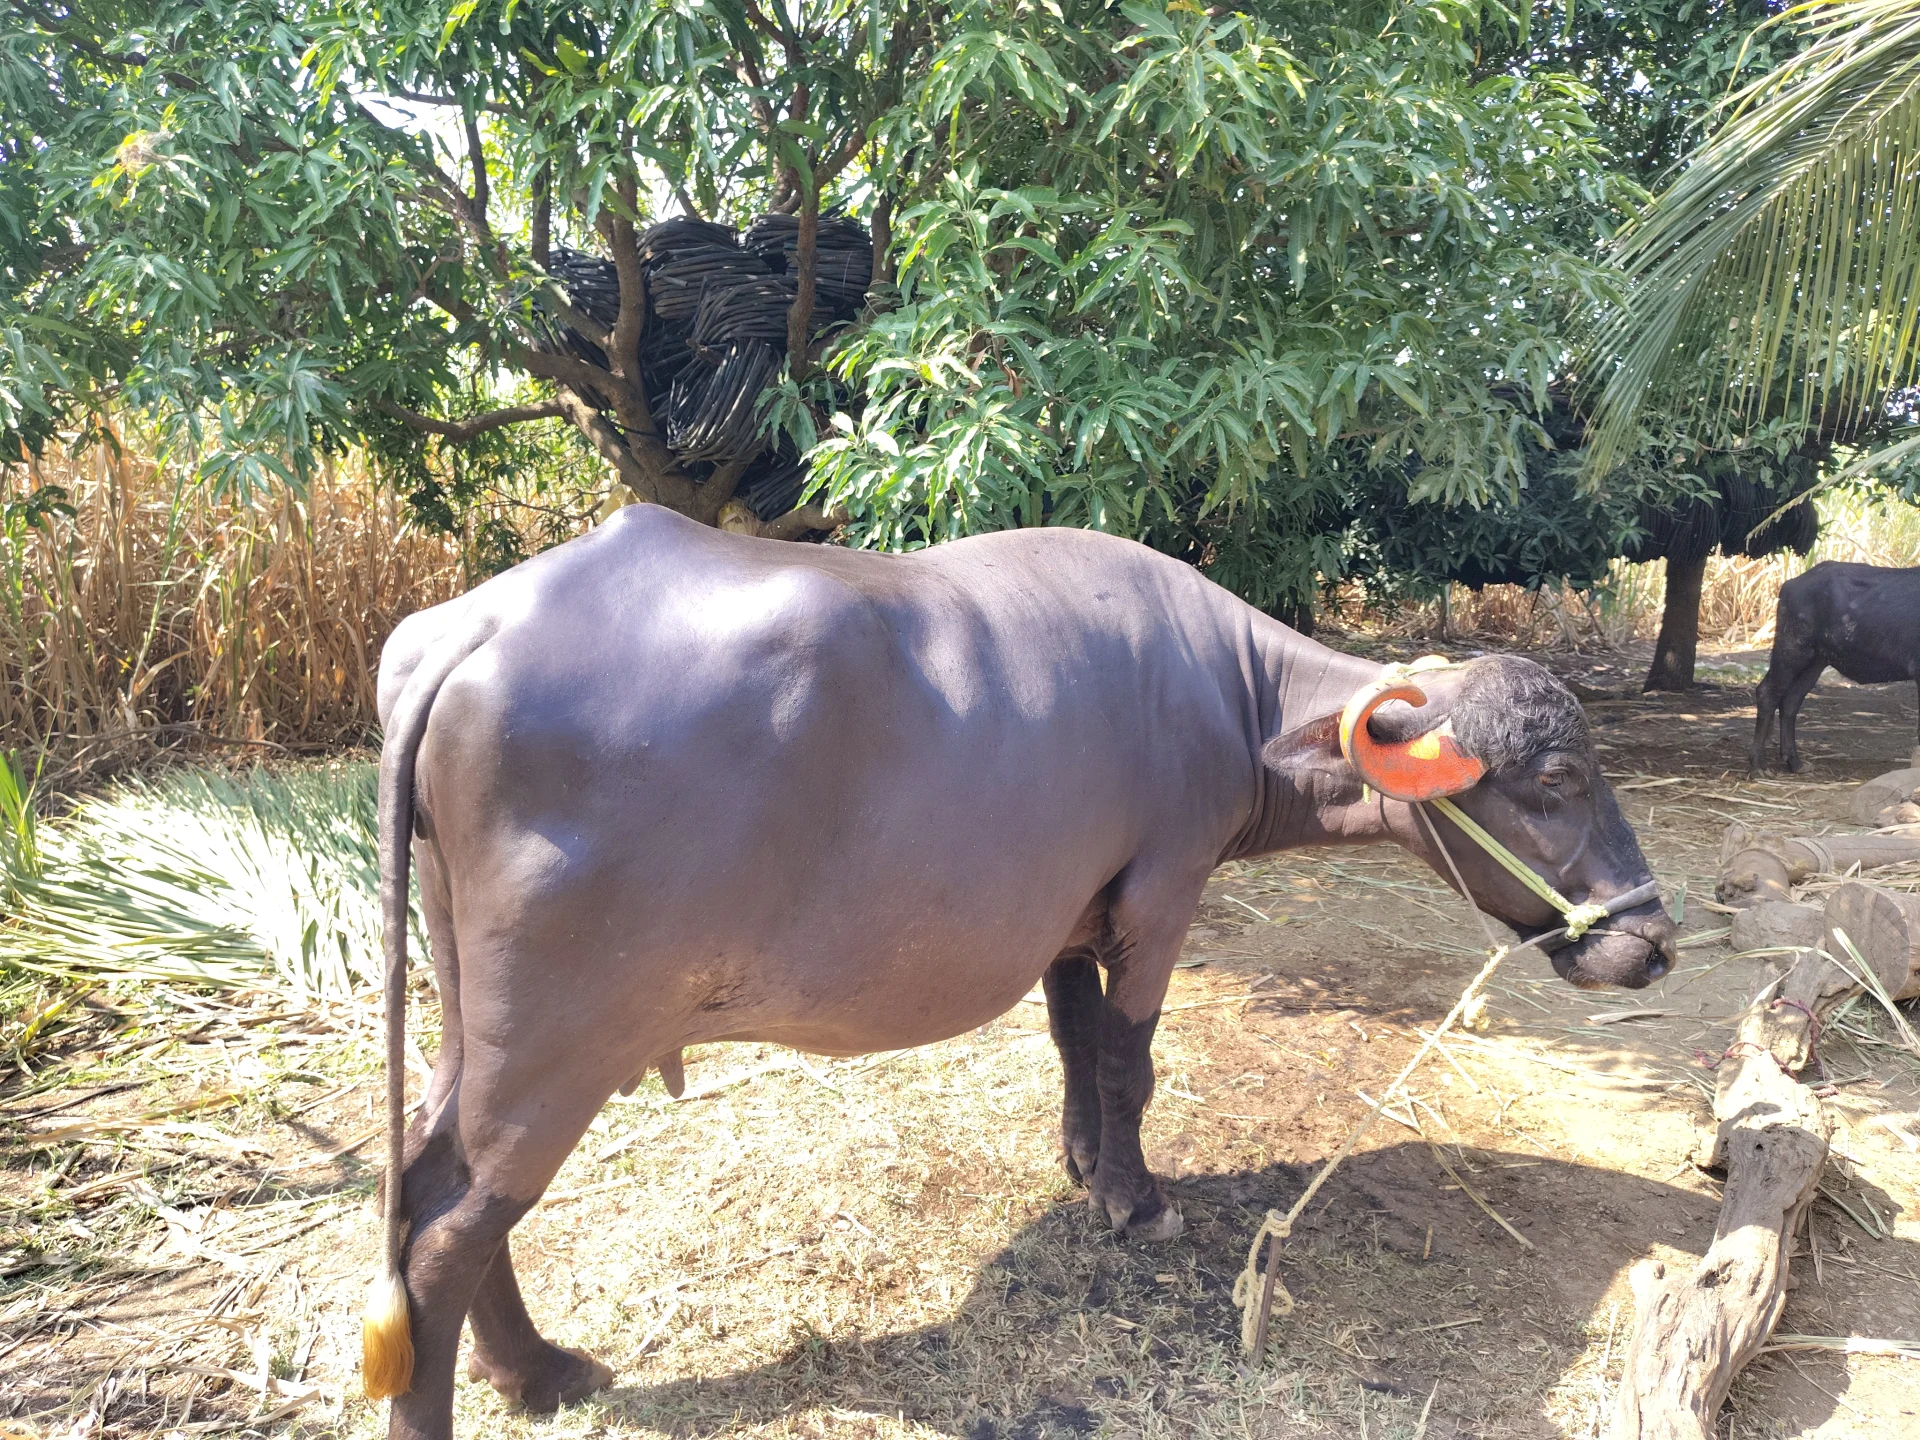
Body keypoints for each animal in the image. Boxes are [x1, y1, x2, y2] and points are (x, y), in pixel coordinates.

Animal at [363, 505, 1676, 1440]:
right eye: (1554, 778)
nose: (1652, 939)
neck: (1232, 698)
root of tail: (468, 633)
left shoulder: (1070, 920)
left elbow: (1074, 1045)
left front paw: (1083, 1164)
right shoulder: (1161, 892)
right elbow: (1132, 1060)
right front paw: (1137, 1198)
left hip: (469, 1010)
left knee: (432, 1177)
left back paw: (534, 1374)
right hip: (559, 1034)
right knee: (447, 1225)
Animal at [1751, 560, 1920, 773]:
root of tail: (1790, 585)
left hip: (1816, 661)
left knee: (1791, 700)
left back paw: (1795, 763)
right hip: (1792, 649)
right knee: (1767, 694)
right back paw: (1759, 765)